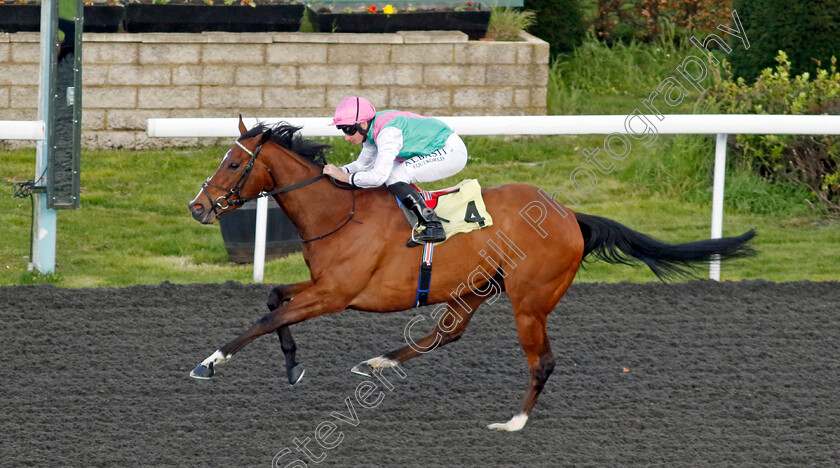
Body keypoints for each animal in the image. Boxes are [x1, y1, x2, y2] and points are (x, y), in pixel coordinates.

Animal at [187, 119, 752, 432]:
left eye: (233, 164)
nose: (197, 207)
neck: (339, 213)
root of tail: (570, 214)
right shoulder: (323, 286)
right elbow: (274, 299)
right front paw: (292, 365)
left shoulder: (338, 294)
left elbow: (268, 318)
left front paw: (210, 362)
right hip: (478, 287)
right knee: (448, 331)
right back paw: (378, 362)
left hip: (529, 301)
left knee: (541, 361)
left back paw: (514, 422)